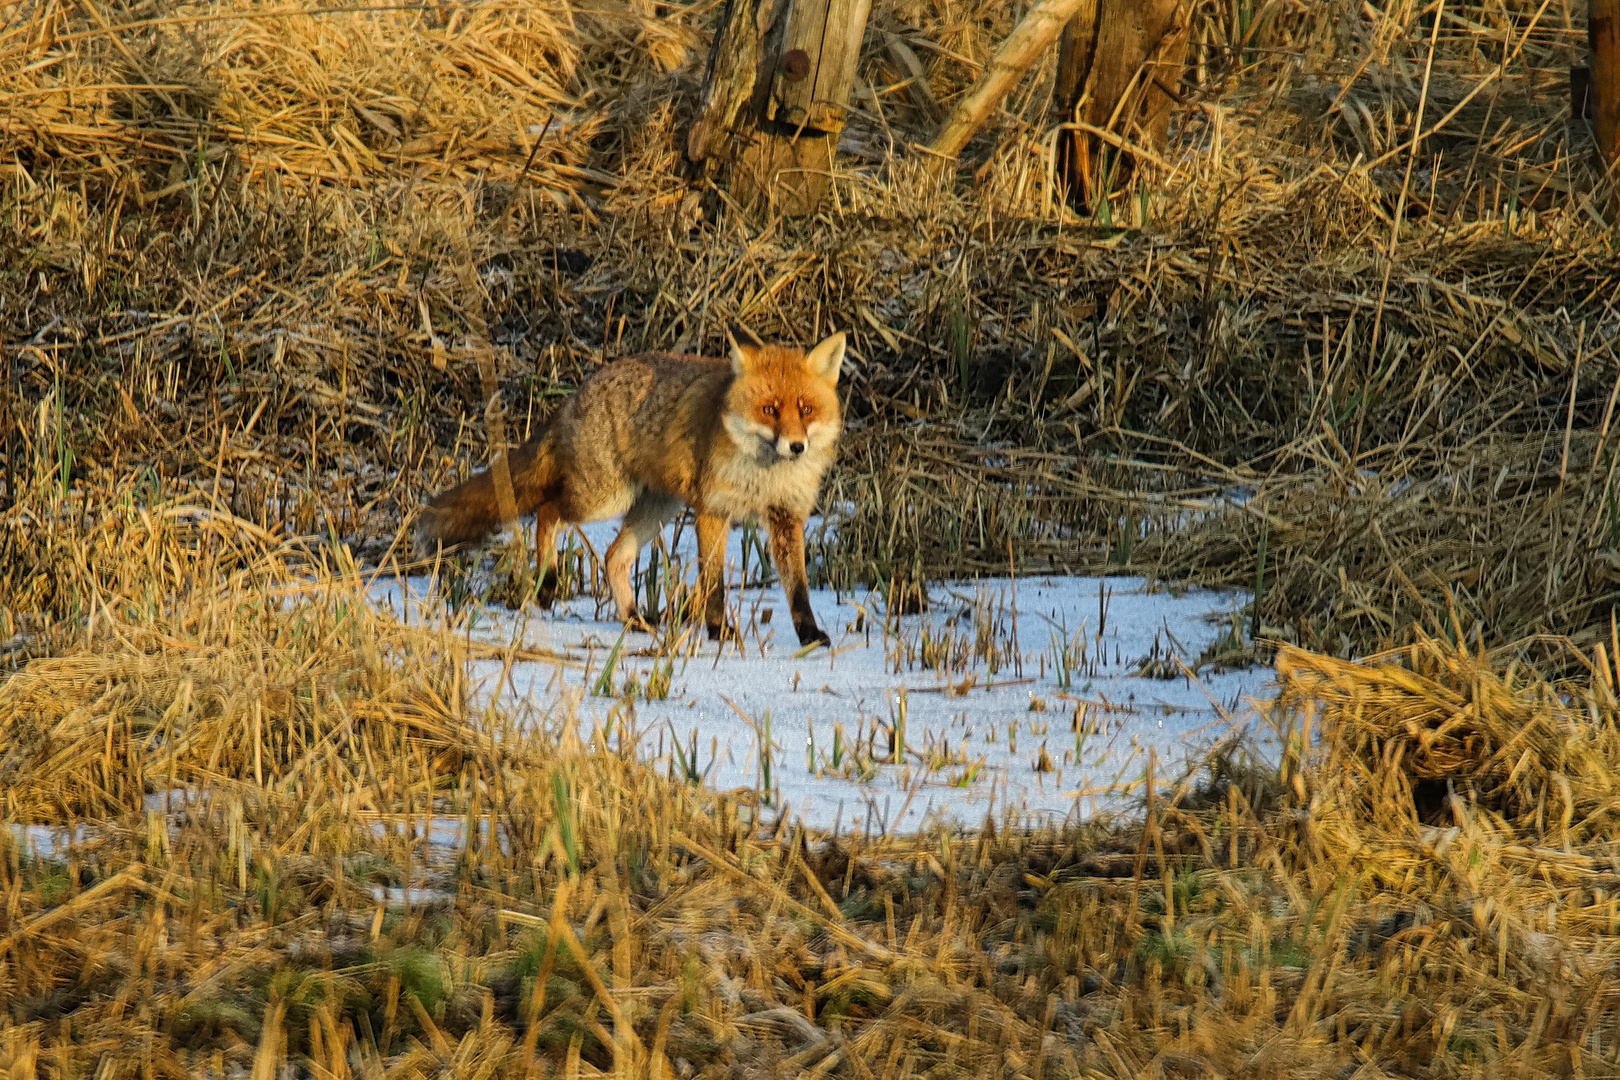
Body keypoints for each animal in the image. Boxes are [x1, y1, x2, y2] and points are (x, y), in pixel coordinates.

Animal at [417, 333, 848, 647]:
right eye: (770, 410)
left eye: (806, 409)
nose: (796, 446)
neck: (765, 475)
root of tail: (577, 394)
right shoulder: (713, 511)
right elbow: (712, 584)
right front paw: (718, 631)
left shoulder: (787, 517)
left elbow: (798, 588)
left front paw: (810, 636)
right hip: (604, 500)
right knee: (548, 512)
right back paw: (548, 584)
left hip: (656, 510)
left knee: (612, 557)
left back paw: (634, 619)